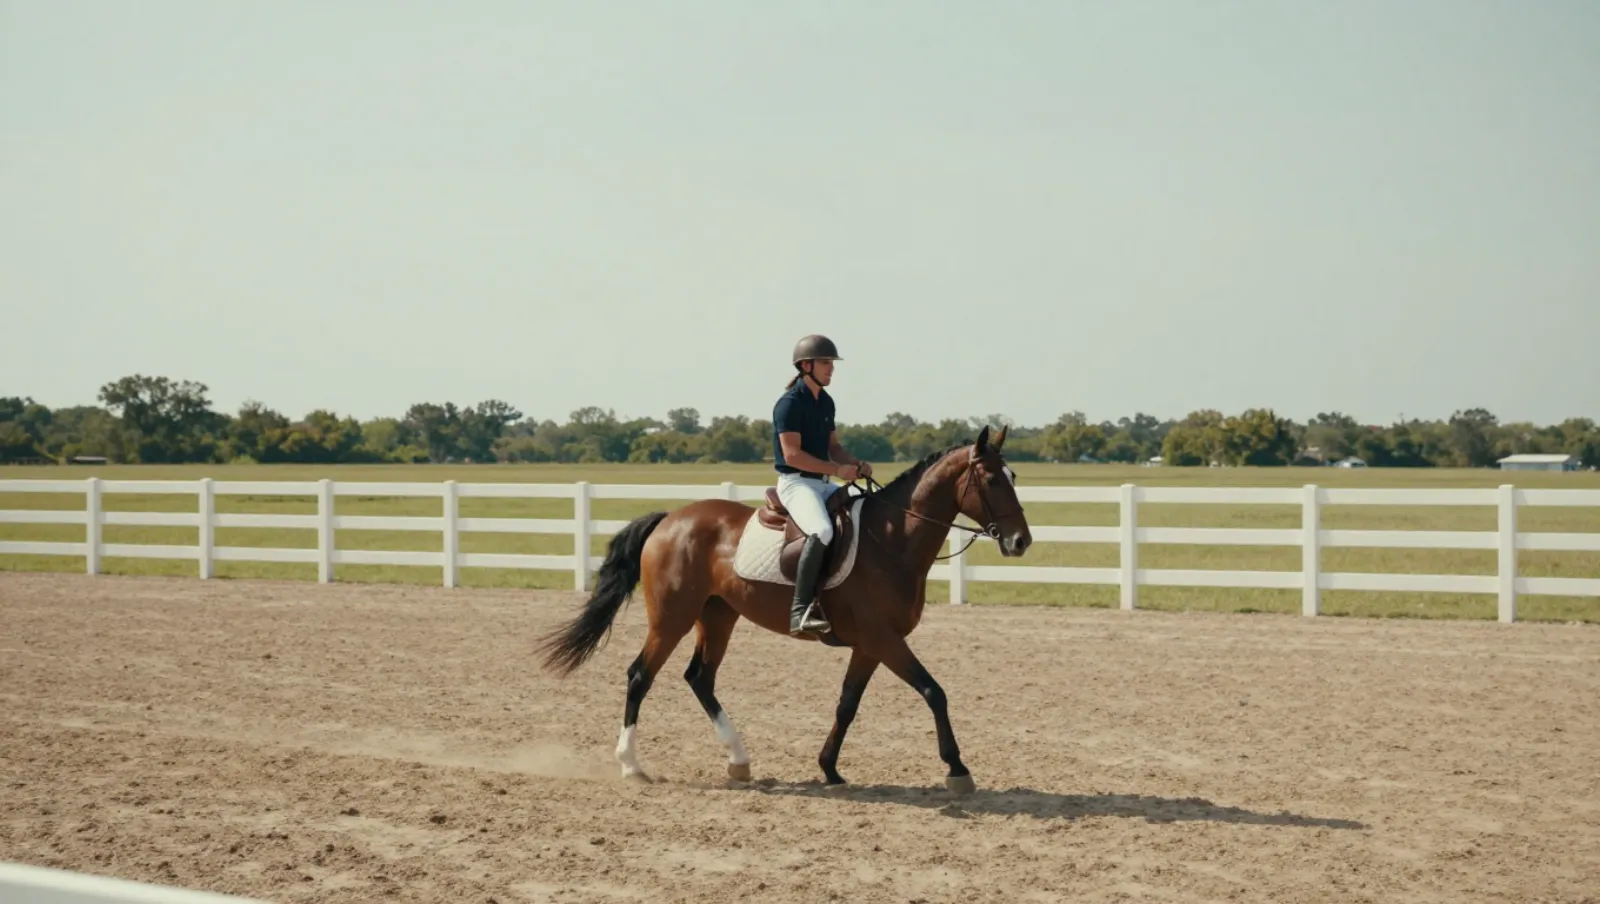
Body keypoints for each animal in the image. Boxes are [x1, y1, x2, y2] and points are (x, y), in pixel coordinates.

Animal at [535, 424, 1033, 795]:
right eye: (992, 480)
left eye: (1013, 477)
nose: (1020, 542)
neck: (890, 539)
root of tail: (670, 520)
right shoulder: (883, 639)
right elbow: (934, 691)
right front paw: (957, 769)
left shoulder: (870, 645)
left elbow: (847, 705)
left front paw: (829, 768)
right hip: (672, 618)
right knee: (640, 675)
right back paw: (632, 767)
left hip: (718, 615)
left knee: (700, 678)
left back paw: (739, 761)